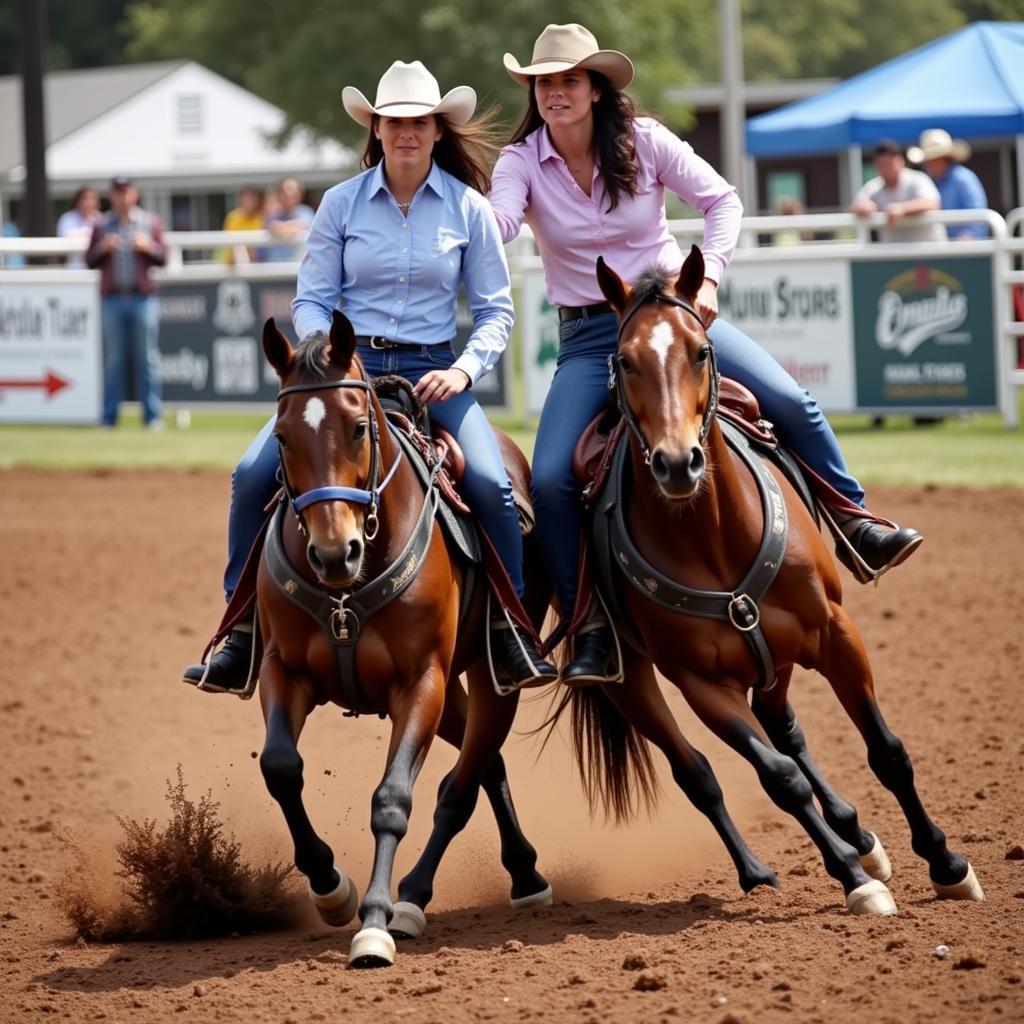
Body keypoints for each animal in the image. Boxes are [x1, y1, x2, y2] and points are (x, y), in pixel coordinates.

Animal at [256, 311, 557, 966]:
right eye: (282, 437)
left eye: (357, 428)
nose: (333, 552)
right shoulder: (282, 670)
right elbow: (280, 767)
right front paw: (330, 887)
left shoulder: (421, 681)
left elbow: (393, 798)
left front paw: (374, 920)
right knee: (484, 762)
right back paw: (519, 870)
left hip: (491, 678)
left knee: (466, 777)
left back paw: (428, 896)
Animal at [552, 249, 983, 921]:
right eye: (624, 360)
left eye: (701, 350)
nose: (677, 463)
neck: (713, 536)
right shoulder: (702, 683)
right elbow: (779, 777)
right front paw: (853, 879)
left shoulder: (836, 633)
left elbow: (886, 751)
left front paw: (947, 864)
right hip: (633, 682)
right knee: (698, 771)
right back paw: (765, 868)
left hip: (777, 655)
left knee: (785, 725)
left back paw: (860, 835)